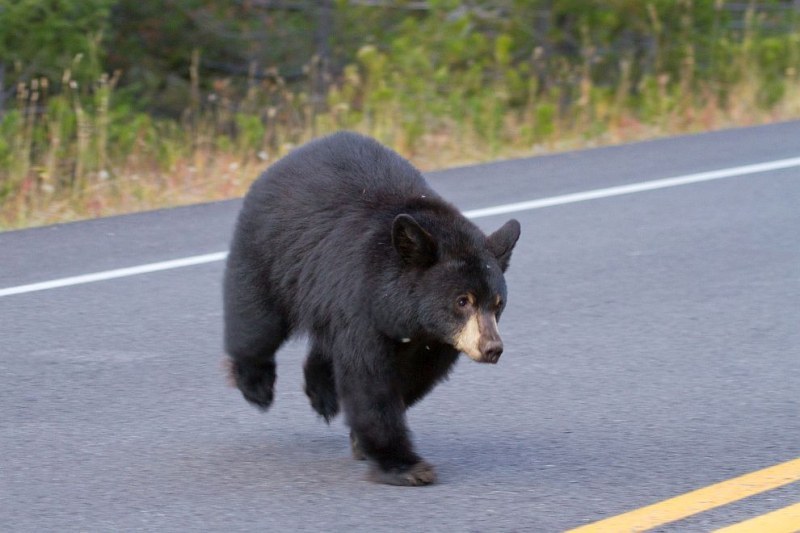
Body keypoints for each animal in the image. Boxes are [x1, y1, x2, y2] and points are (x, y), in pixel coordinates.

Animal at [222, 131, 520, 484]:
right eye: (462, 301)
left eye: (498, 304)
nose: (492, 348)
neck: (406, 315)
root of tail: (283, 160)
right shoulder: (361, 305)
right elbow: (368, 379)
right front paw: (405, 465)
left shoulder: (435, 341)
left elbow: (413, 377)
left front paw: (362, 441)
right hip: (270, 253)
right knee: (256, 324)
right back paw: (256, 385)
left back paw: (321, 392)